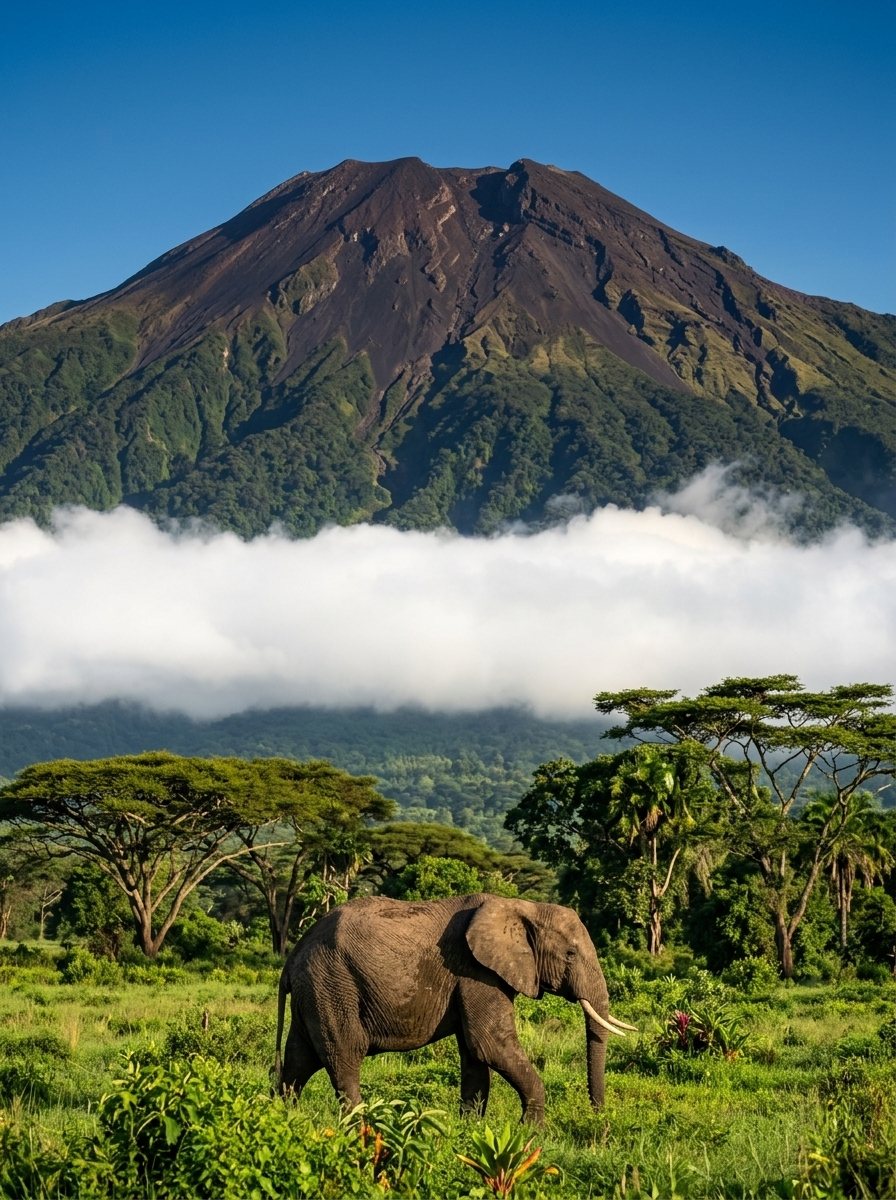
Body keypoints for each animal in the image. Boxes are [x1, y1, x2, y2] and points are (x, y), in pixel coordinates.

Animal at [274, 892, 635, 1123]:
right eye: (570, 955)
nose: (597, 1117)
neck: (522, 906)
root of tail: (292, 957)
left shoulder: (475, 978)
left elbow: (475, 1054)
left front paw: (469, 1130)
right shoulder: (476, 972)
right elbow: (489, 1044)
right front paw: (530, 1134)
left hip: (315, 991)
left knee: (298, 1061)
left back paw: (285, 1117)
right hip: (332, 984)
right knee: (345, 1055)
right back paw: (358, 1125)